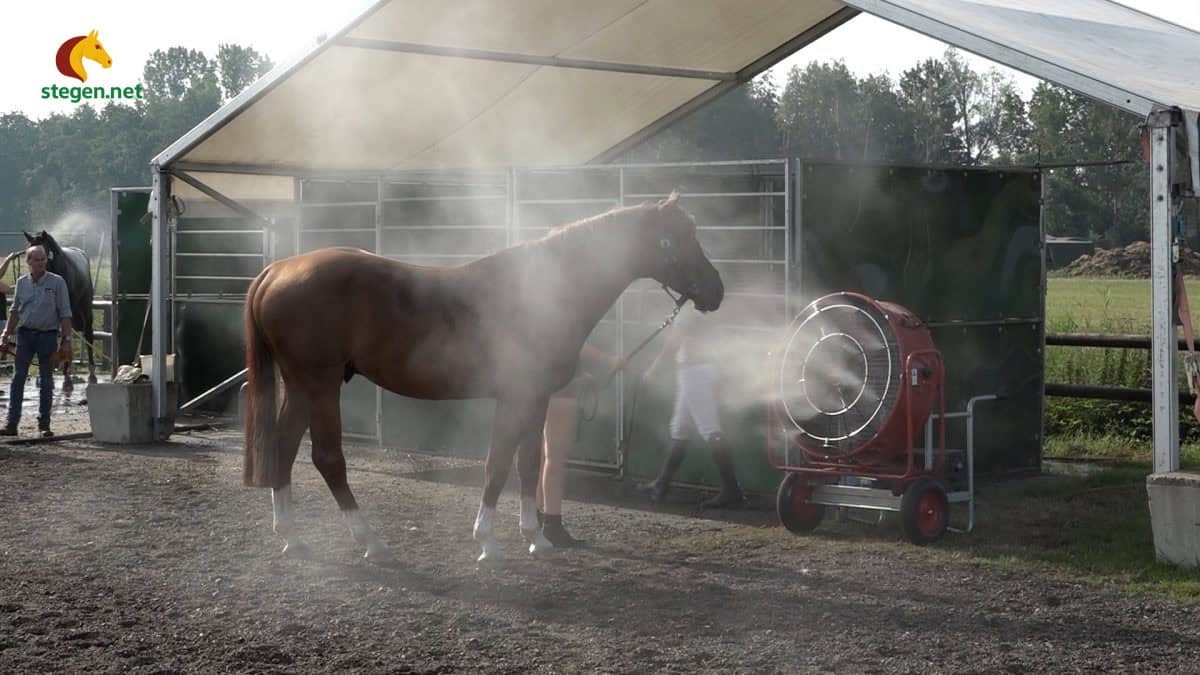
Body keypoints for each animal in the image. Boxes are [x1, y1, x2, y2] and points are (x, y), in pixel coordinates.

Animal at [24, 231, 98, 392]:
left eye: (42, 253)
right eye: (28, 253)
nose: (34, 273)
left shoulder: (65, 310)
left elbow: (65, 338)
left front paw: (67, 380)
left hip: (85, 308)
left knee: (88, 334)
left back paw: (91, 374)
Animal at [243, 192, 724, 563]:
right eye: (673, 239)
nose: (716, 290)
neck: (543, 291)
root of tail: (277, 270)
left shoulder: (536, 398)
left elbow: (528, 464)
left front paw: (536, 538)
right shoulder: (513, 397)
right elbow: (497, 464)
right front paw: (487, 542)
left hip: (301, 387)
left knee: (284, 447)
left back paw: (292, 538)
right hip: (320, 385)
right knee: (328, 459)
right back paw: (371, 543)